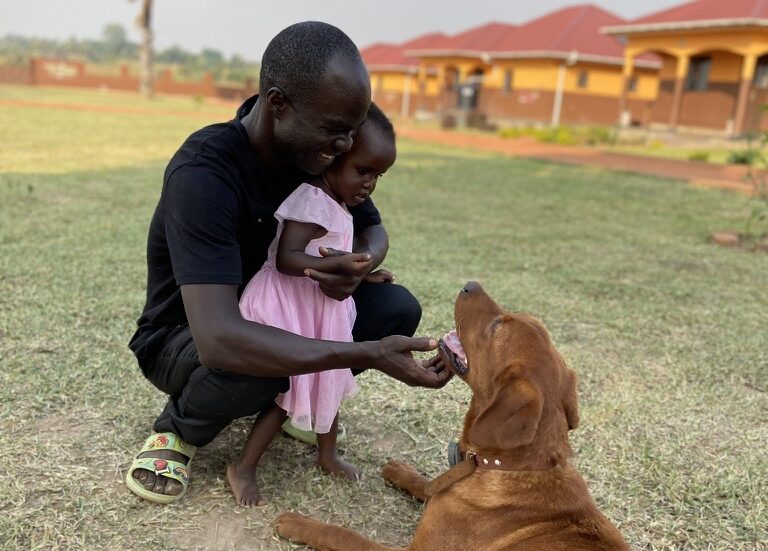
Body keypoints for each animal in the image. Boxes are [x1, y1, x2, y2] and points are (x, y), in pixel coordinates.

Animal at [276, 282, 632, 548]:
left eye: (497, 325)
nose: (470, 283)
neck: (504, 466)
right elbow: (430, 484)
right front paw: (403, 472)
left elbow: (345, 536)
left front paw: (297, 523)